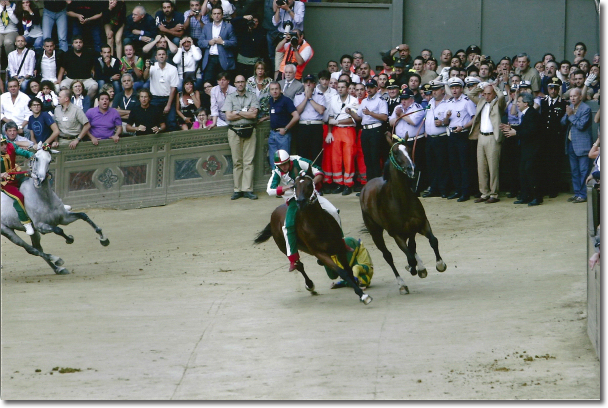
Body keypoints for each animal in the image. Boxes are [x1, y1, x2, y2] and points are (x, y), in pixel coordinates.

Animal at [1, 145, 109, 276]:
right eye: (36, 158)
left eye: (50, 160)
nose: (40, 179)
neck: (43, 198)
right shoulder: (41, 226)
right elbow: (58, 230)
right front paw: (69, 239)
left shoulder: (63, 218)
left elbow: (83, 216)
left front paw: (104, 239)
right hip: (7, 231)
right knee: (31, 249)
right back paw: (57, 260)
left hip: (33, 233)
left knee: (37, 248)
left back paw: (58, 268)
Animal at [254, 165, 372, 302]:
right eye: (295, 186)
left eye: (310, 184)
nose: (300, 202)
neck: (319, 225)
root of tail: (274, 214)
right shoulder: (320, 253)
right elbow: (341, 271)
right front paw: (362, 295)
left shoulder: (339, 248)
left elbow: (348, 269)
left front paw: (360, 289)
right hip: (283, 246)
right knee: (299, 265)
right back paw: (309, 284)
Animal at [356, 140, 446, 294]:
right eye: (396, 153)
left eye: (409, 150)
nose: (412, 169)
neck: (400, 200)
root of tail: (365, 187)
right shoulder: (396, 234)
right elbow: (409, 256)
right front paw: (411, 269)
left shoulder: (421, 224)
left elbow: (432, 241)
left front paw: (439, 264)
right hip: (375, 232)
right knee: (388, 256)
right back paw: (402, 284)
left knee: (412, 247)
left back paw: (420, 268)